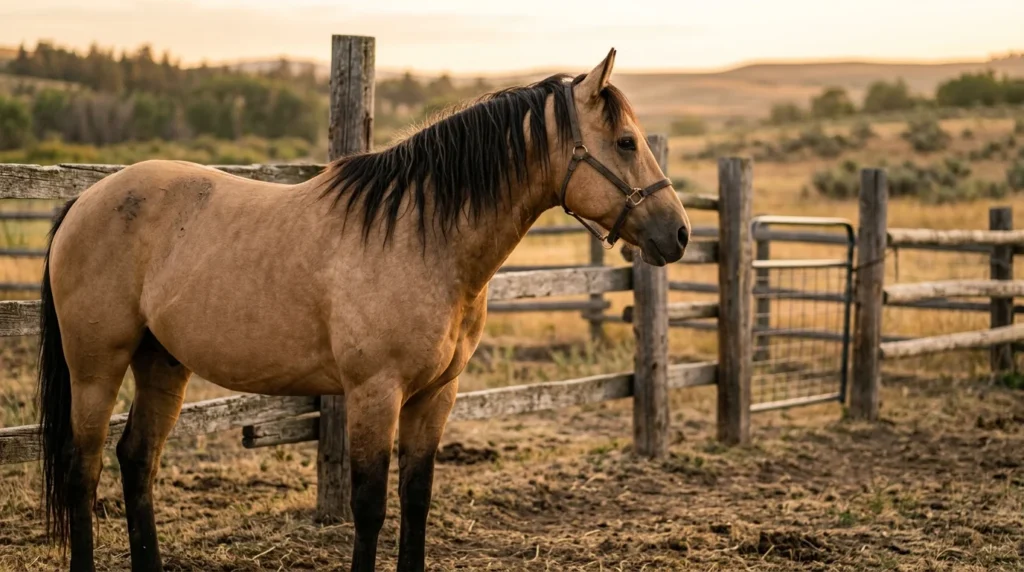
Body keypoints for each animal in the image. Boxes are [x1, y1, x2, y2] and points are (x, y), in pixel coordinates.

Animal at [36, 48, 690, 572]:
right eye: (626, 143)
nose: (679, 234)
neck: (421, 237)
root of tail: (84, 200)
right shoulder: (375, 392)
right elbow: (370, 507)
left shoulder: (436, 396)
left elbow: (417, 500)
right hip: (96, 368)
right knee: (82, 471)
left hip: (163, 362)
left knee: (136, 461)